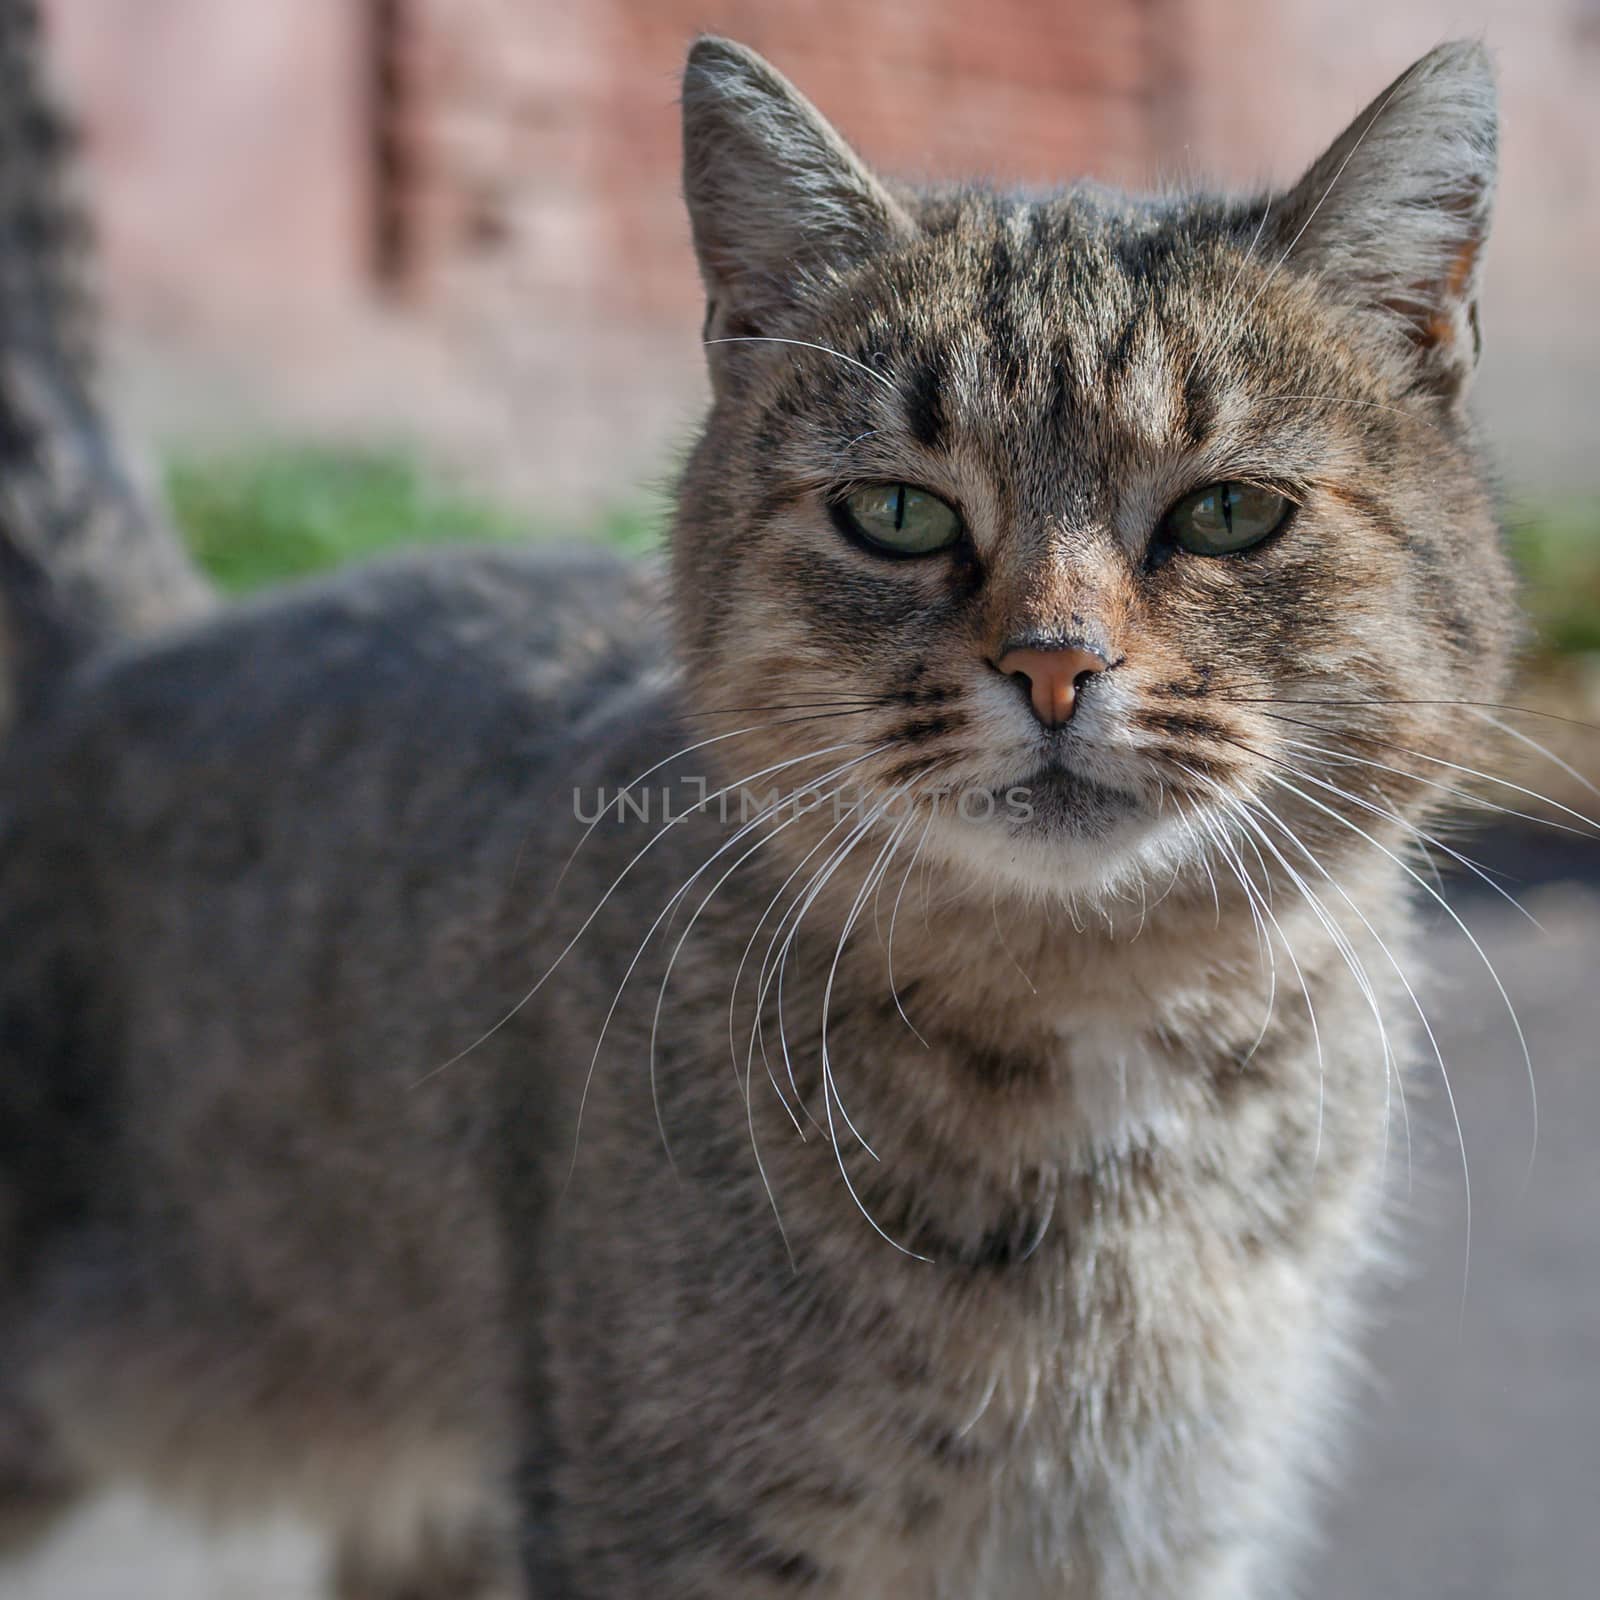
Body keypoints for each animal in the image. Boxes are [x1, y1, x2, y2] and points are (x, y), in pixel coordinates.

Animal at [0, 25, 1510, 1600]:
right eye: (897, 515)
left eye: (1227, 513)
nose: (1053, 663)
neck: (1099, 1024)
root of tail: (125, 648)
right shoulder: (672, 1534)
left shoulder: (1165, 1531)